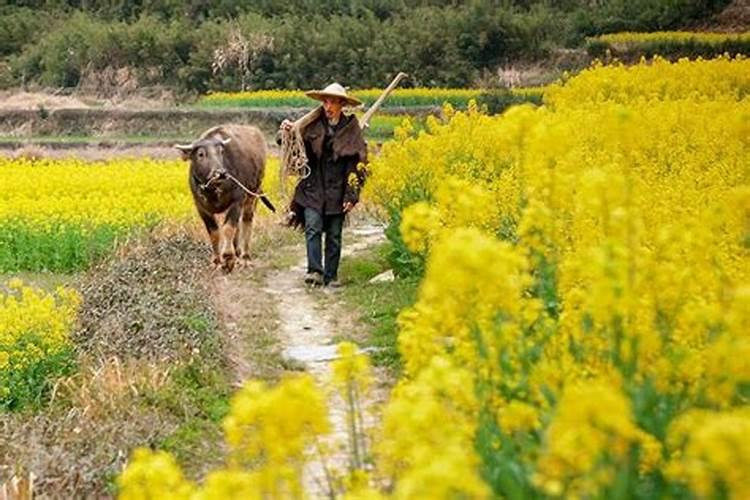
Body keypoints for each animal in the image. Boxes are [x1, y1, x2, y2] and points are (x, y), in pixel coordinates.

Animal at [176, 125, 276, 274]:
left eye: (221, 152)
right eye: (201, 154)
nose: (221, 173)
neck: (214, 189)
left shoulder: (236, 201)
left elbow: (228, 228)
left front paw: (228, 258)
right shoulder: (201, 208)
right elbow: (214, 233)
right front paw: (217, 262)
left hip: (252, 195)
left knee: (246, 222)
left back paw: (245, 258)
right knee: (238, 227)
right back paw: (238, 253)